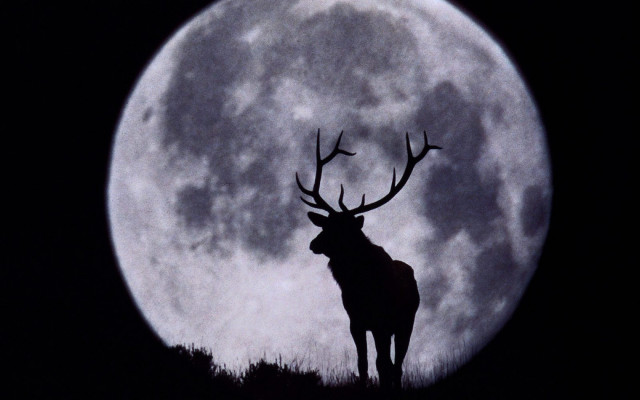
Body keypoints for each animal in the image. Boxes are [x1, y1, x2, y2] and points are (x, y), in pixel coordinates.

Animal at [296, 129, 441, 389]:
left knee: (396, 365)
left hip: (406, 323)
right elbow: (362, 364)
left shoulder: (382, 321)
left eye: (343, 229)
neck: (360, 285)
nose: (314, 244)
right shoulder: (356, 321)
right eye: (325, 224)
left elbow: (383, 364)